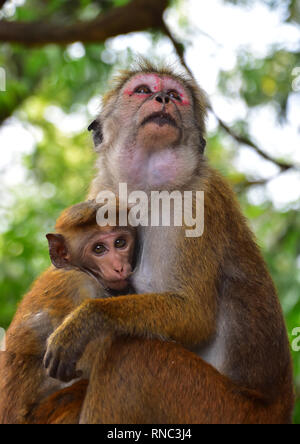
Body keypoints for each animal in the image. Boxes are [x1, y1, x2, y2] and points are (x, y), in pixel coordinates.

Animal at [39, 61, 292, 424]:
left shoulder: (196, 203)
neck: (145, 190)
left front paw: (87, 319)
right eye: (143, 90)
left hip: (220, 409)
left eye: (175, 95)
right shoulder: (102, 193)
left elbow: (195, 315)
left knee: (133, 355)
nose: (163, 99)